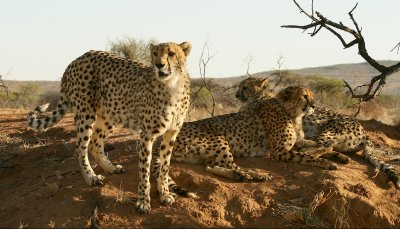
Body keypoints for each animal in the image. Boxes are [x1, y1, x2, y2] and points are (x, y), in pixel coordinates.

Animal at [27, 42, 192, 214]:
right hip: (86, 113)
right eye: (155, 53)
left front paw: (165, 193)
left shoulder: (171, 133)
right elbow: (144, 169)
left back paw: (111, 168)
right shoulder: (147, 135)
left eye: (171, 53)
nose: (159, 64)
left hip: (110, 113)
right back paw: (91, 177)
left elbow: (165, 166)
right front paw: (143, 201)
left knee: (94, 143)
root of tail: (77, 59)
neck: (172, 84)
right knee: (80, 147)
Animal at [236, 77, 398, 188]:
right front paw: (340, 157)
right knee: (325, 147)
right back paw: (340, 157)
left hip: (329, 130)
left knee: (325, 146)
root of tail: (364, 131)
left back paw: (311, 153)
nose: (237, 95)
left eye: (245, 87)